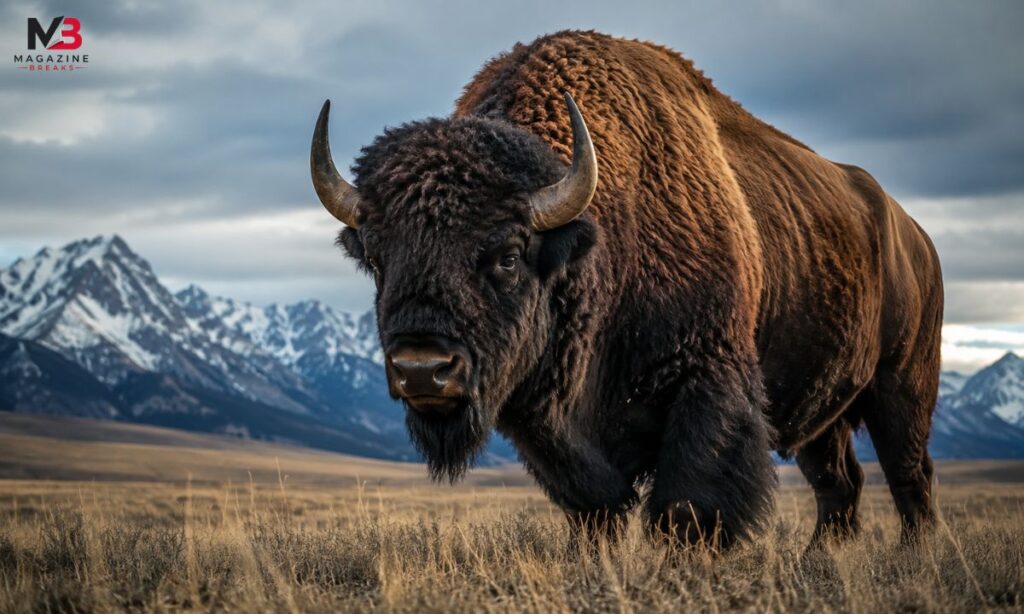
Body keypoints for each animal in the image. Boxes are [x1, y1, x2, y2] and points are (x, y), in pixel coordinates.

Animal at [310, 30, 943, 548]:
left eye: (509, 256)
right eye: (376, 258)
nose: (422, 370)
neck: (597, 237)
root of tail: (915, 235)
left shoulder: (706, 386)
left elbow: (687, 511)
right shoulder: (554, 434)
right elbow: (595, 511)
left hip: (902, 387)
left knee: (909, 477)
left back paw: (916, 558)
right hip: (826, 414)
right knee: (840, 485)